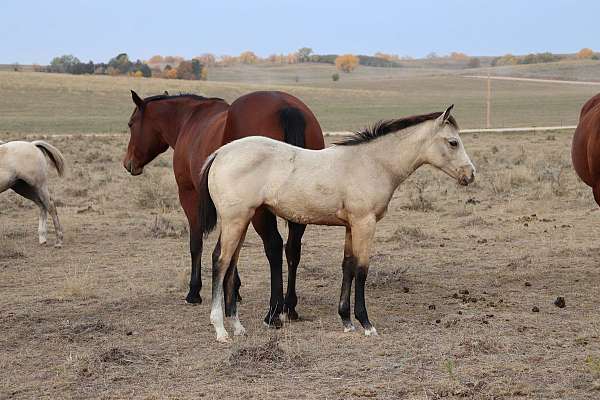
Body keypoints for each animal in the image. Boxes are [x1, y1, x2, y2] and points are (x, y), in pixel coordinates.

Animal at [122, 90, 326, 324]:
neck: (189, 119)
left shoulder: (189, 195)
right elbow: (231, 245)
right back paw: (290, 306)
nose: (128, 163)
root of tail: (286, 107)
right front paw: (233, 289)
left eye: (131, 124)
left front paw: (194, 291)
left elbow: (196, 242)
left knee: (274, 246)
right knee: (292, 248)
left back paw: (273, 312)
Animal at [199, 104, 476, 342]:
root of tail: (221, 153)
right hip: (235, 220)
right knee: (220, 261)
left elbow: (348, 266)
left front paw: (346, 320)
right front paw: (366, 323)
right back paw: (220, 329)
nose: (470, 174)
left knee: (231, 263)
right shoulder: (365, 223)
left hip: (242, 221)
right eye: (453, 142)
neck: (372, 163)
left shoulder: (351, 226)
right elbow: (362, 270)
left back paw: (237, 326)